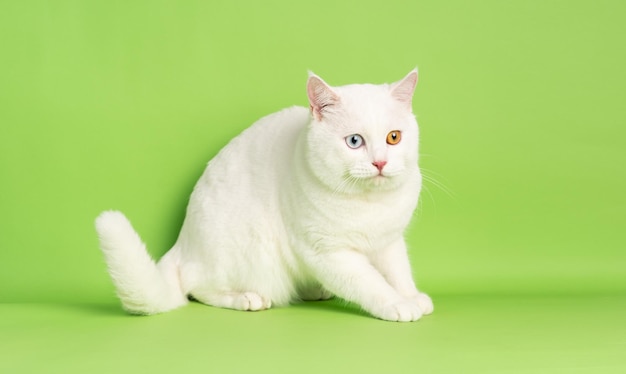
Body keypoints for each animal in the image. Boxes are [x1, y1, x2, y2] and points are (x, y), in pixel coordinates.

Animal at [95, 70, 432, 322]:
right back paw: (246, 298)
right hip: (246, 253)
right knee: (198, 288)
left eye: (393, 137)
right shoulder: (329, 253)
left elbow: (398, 272)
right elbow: (371, 282)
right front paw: (397, 304)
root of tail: (181, 244)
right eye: (354, 141)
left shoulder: (389, 242)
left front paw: (411, 296)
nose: (380, 163)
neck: (370, 204)